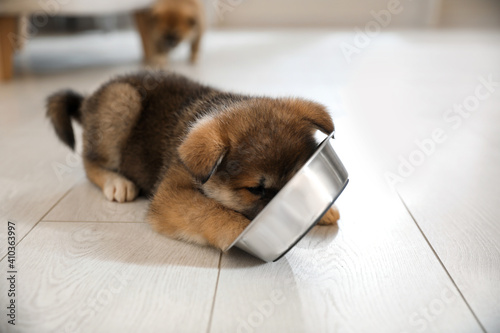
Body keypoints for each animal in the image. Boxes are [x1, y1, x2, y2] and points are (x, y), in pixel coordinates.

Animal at [47, 72, 340, 249]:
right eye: (255, 189)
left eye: (300, 177)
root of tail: (88, 99)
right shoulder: (171, 194)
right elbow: (214, 212)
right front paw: (244, 231)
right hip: (122, 102)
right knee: (89, 162)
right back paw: (116, 182)